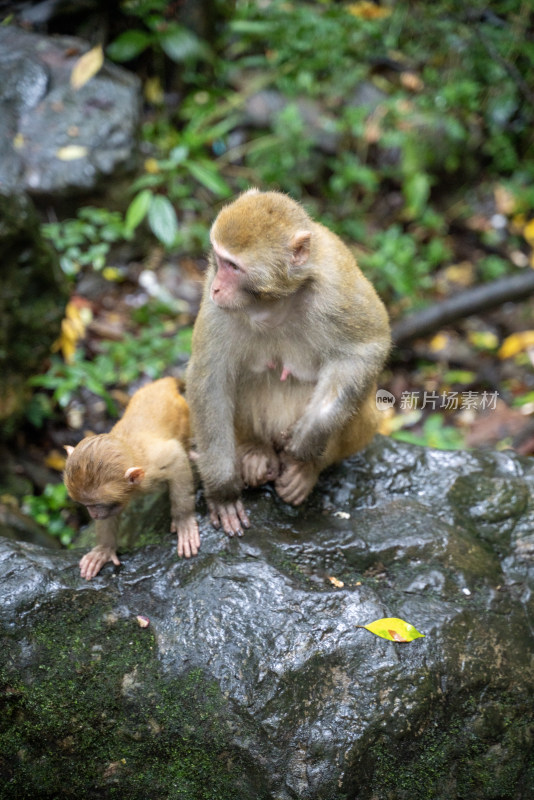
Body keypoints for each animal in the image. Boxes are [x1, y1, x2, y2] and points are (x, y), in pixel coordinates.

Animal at [65, 378, 199, 580]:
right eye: (86, 505)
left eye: (97, 504)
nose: (93, 514)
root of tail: (162, 384)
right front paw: (104, 549)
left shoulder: (154, 467)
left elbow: (176, 458)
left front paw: (184, 520)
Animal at [186, 189, 392, 536]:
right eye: (219, 260)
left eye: (233, 266)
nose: (215, 287)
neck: (274, 300)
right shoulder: (217, 309)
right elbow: (210, 379)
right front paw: (223, 492)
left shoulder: (337, 287)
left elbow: (366, 348)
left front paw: (308, 437)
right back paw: (254, 452)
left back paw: (306, 470)